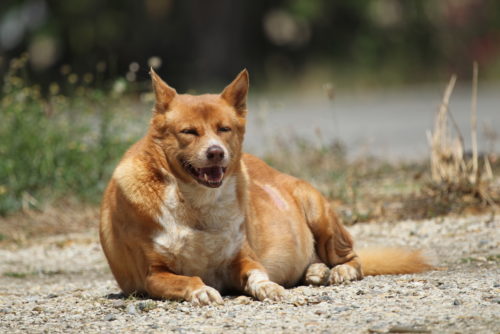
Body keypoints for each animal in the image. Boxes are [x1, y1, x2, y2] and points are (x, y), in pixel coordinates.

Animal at [99, 70, 432, 306]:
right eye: (189, 132)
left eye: (224, 129)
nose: (216, 152)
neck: (198, 203)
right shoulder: (152, 275)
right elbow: (188, 279)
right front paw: (201, 291)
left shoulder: (242, 259)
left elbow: (258, 274)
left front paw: (269, 287)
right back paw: (315, 271)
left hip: (317, 211)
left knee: (353, 258)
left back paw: (337, 270)